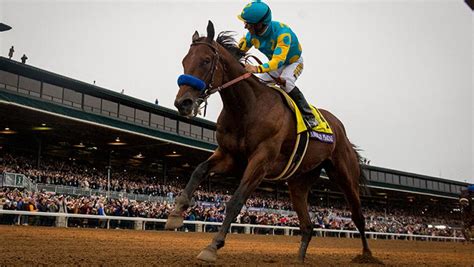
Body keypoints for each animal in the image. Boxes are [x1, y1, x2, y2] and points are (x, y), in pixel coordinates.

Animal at [167, 20, 382, 264]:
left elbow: (235, 201)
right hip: (299, 182)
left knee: (358, 215)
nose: (183, 103)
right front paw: (176, 213)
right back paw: (299, 259)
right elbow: (198, 170)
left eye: (205, 60)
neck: (247, 107)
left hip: (344, 175)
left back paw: (367, 255)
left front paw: (213, 246)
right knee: (308, 226)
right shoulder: (229, 156)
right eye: (184, 61)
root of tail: (340, 129)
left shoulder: (261, 161)